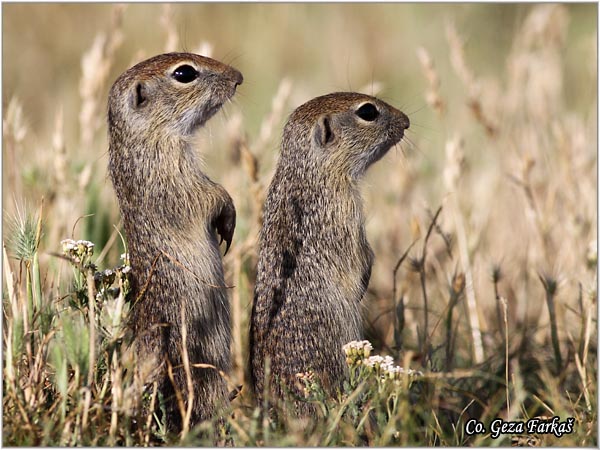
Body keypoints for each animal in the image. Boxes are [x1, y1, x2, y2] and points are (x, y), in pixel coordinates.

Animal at [106, 51, 243, 428]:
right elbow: (209, 196)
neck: (146, 135)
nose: (238, 77)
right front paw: (228, 218)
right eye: (184, 74)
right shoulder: (175, 174)